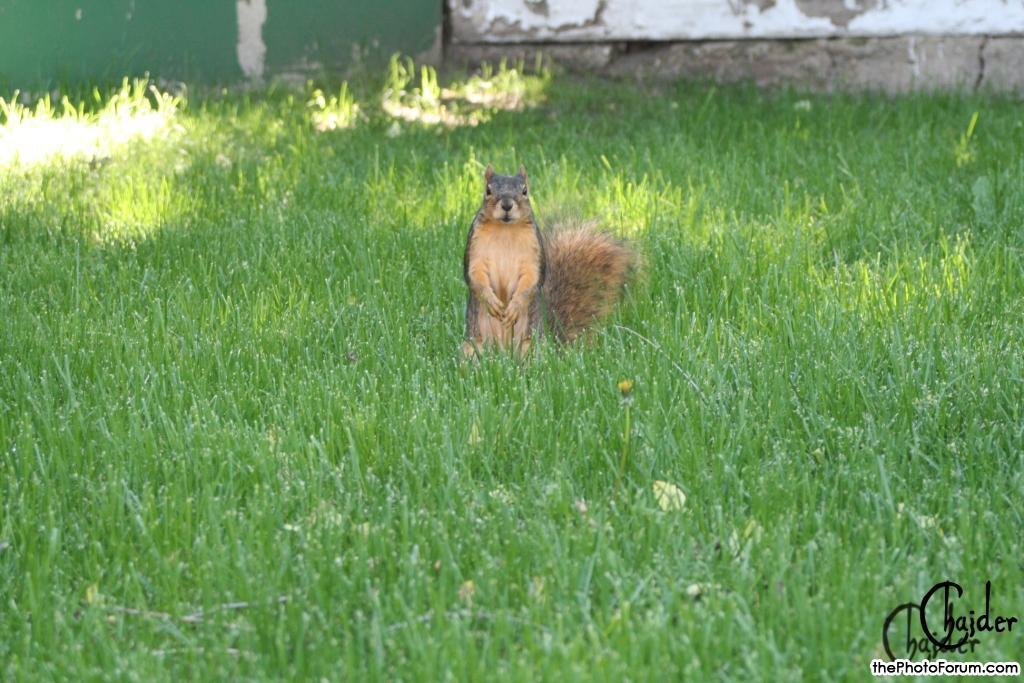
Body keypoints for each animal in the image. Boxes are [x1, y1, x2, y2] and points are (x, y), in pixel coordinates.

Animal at [462, 165, 634, 358]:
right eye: (488, 190)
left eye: (525, 190)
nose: (507, 205)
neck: (505, 229)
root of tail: (504, 352)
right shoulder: (474, 249)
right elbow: (474, 276)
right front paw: (491, 301)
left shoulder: (534, 255)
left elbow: (532, 280)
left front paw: (515, 307)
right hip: (473, 346)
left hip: (530, 345)